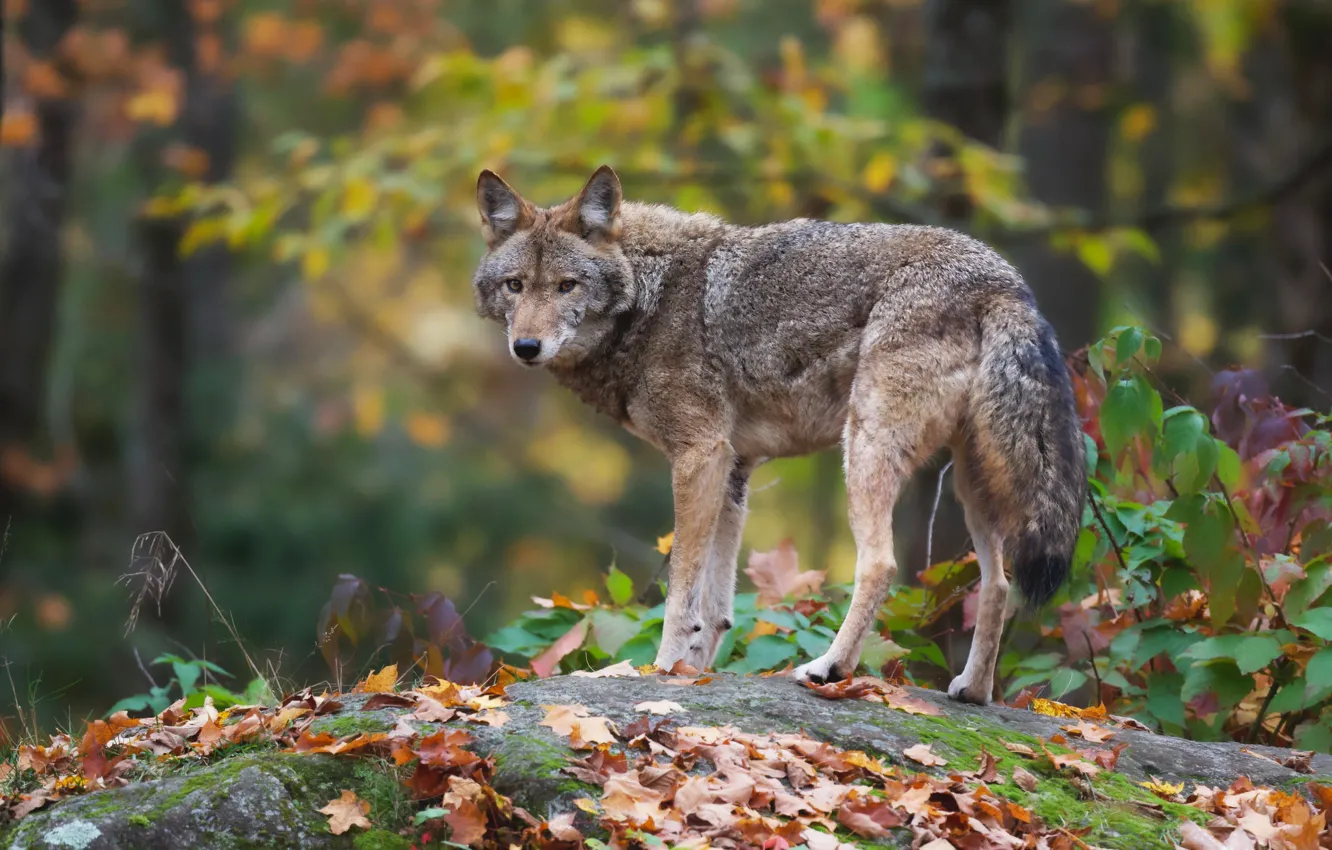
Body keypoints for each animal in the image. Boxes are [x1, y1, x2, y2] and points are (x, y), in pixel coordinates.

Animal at [474, 166, 1086, 703]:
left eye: (566, 286)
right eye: (515, 286)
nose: (525, 347)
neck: (650, 297)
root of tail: (1005, 282)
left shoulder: (699, 455)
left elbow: (681, 591)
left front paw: (662, 670)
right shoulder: (733, 470)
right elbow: (715, 608)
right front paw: (697, 673)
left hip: (865, 449)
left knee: (881, 564)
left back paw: (829, 668)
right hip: (971, 480)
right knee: (1000, 584)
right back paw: (973, 691)